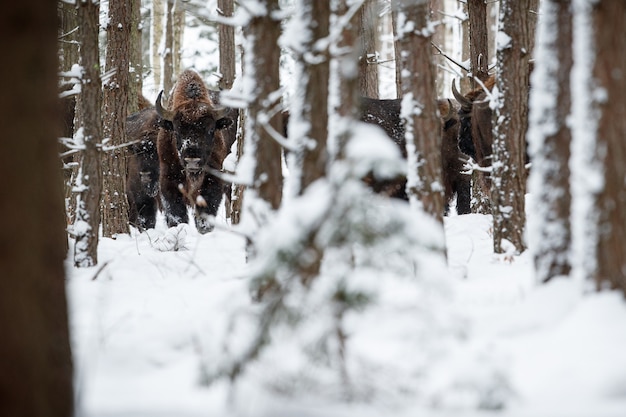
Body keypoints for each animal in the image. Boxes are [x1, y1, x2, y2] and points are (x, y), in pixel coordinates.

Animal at [155, 71, 235, 234]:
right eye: (177, 131)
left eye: (210, 130)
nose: (192, 161)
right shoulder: (168, 179)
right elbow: (176, 213)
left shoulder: (213, 178)